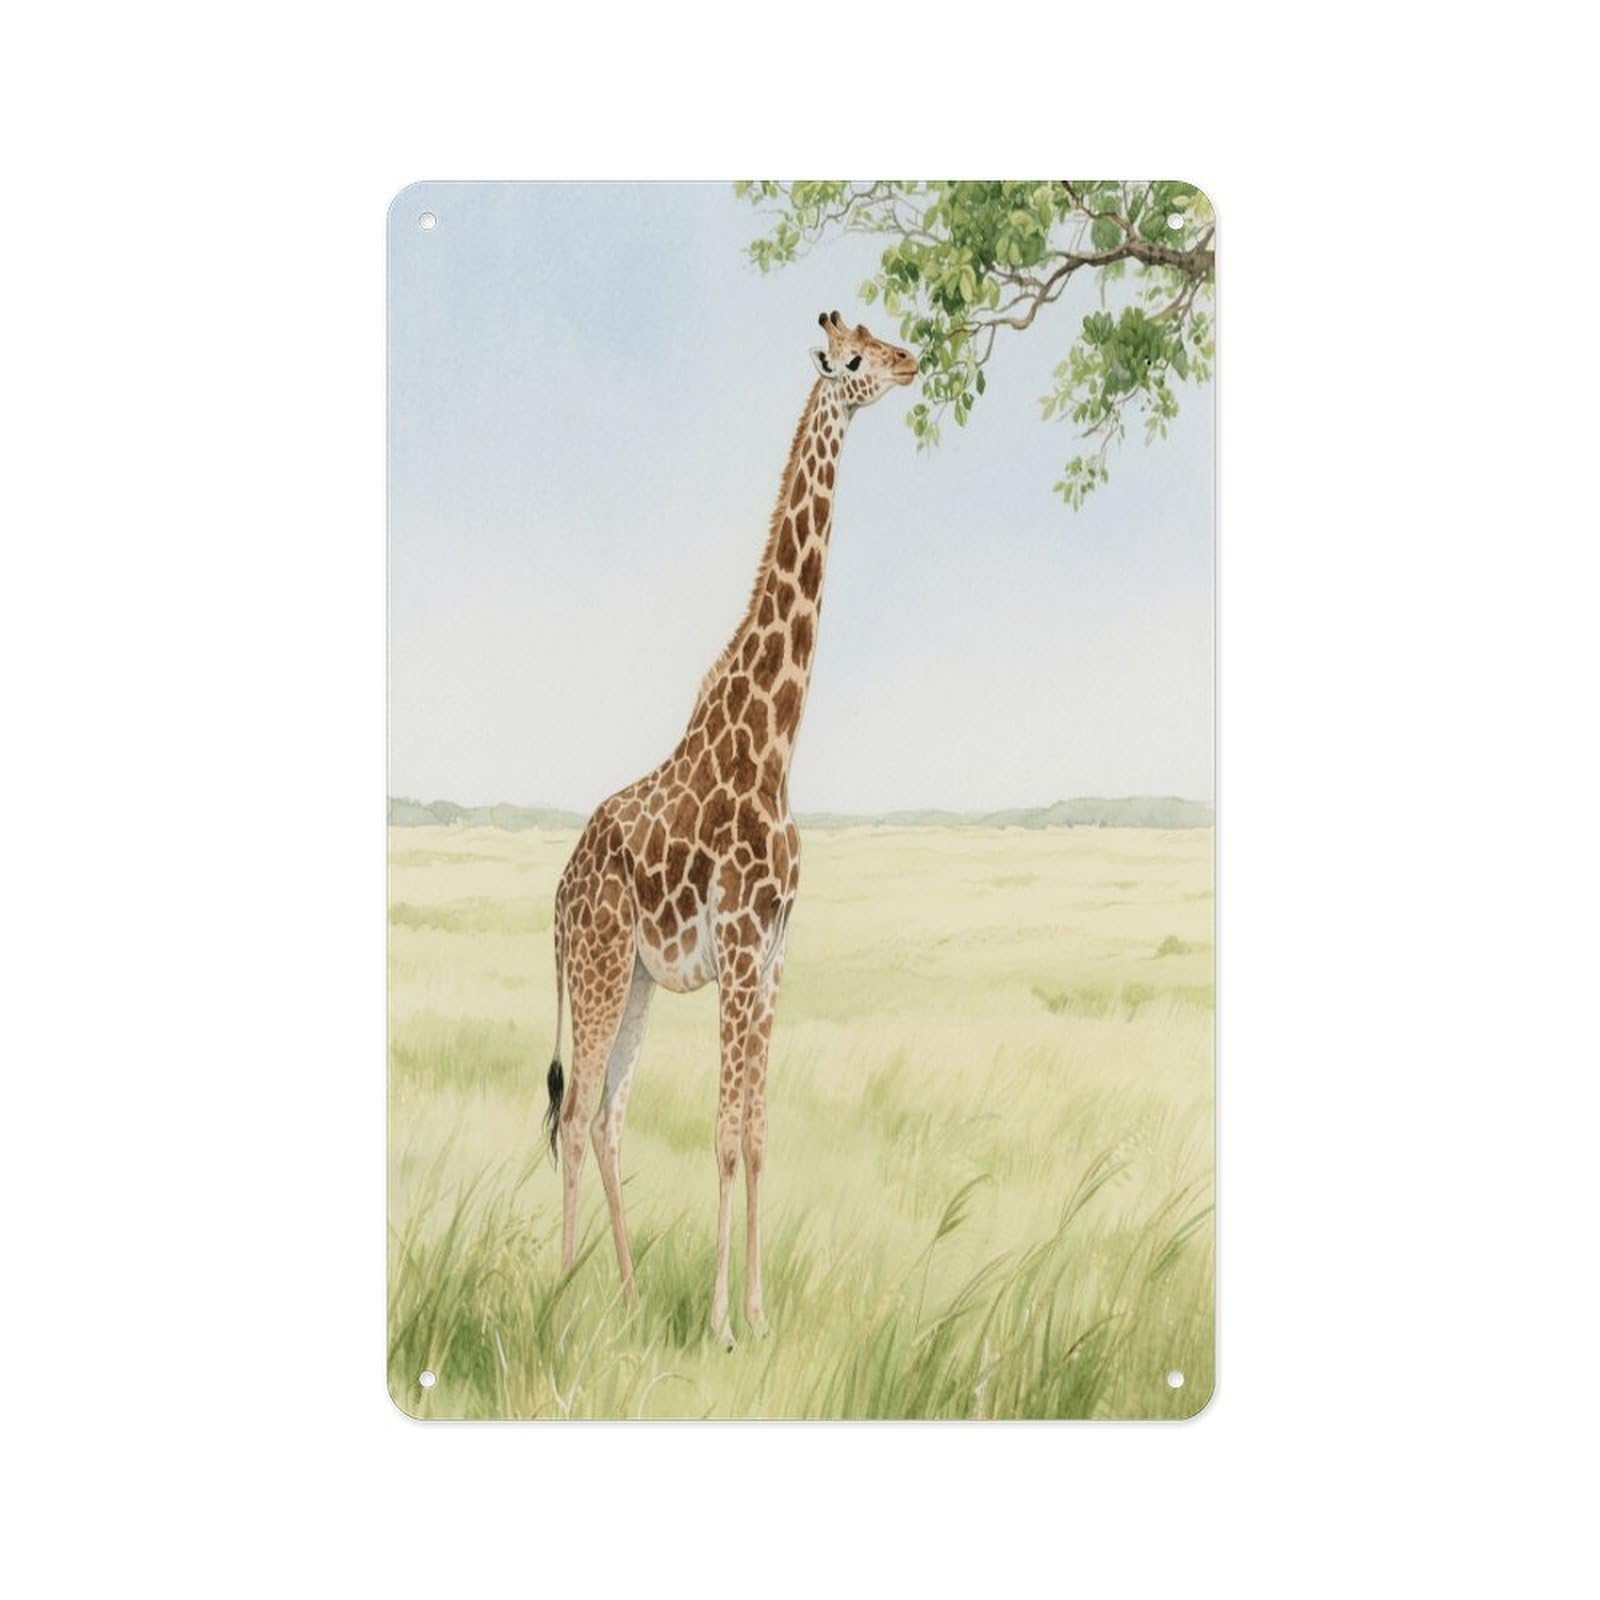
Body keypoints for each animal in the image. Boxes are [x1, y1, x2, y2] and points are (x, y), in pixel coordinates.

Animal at [542, 310, 917, 1348]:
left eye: (881, 335)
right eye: (855, 357)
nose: (915, 362)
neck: (776, 742)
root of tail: (555, 897)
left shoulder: (777, 952)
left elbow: (756, 1133)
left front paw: (758, 1312)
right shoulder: (743, 949)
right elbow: (719, 1139)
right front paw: (717, 1324)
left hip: (633, 979)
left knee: (604, 1116)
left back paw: (628, 1299)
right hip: (601, 965)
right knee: (576, 1110)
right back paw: (559, 1295)